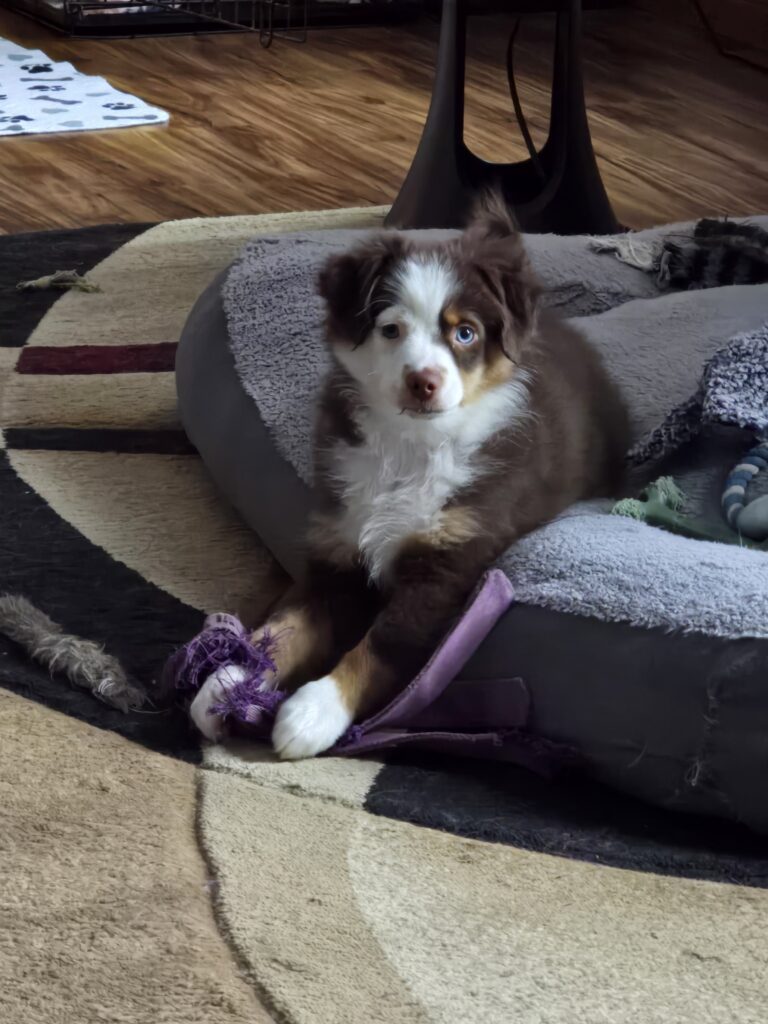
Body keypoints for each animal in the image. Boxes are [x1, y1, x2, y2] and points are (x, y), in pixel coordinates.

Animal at [191, 199, 629, 758]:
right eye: (390, 330)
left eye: (465, 333)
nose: (424, 382)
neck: (409, 446)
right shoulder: (337, 547)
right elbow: (286, 626)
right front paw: (228, 681)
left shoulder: (445, 565)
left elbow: (382, 641)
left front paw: (314, 712)